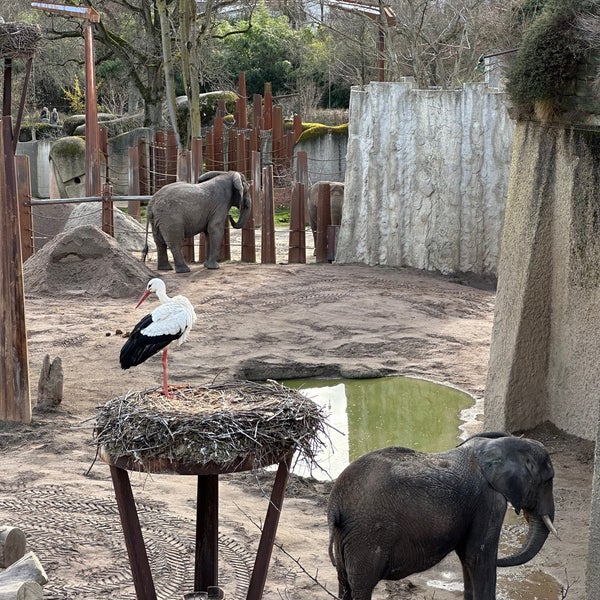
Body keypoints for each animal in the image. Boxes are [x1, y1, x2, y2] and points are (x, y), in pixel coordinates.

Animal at [328, 432, 556, 600]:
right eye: (548, 480)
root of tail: (334, 504)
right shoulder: (489, 502)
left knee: (344, 583)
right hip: (368, 535)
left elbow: (467, 558)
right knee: (361, 587)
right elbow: (479, 557)